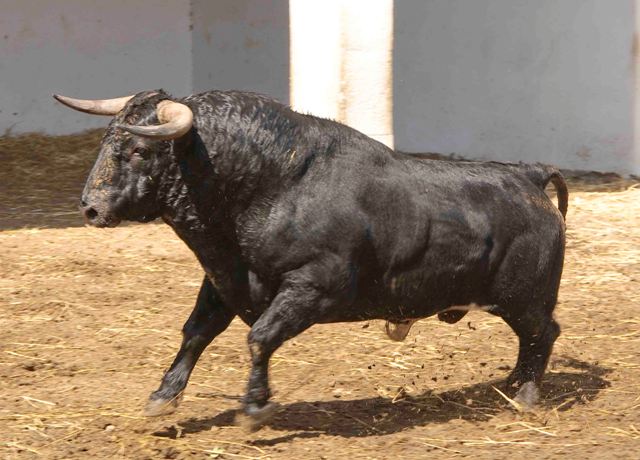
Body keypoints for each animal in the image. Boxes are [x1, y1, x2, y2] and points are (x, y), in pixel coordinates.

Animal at [53, 90, 564, 432]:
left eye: (139, 150)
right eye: (107, 139)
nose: (90, 208)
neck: (272, 187)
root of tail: (528, 176)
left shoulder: (314, 286)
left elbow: (260, 338)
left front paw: (256, 406)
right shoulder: (222, 282)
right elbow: (195, 334)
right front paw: (162, 396)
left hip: (525, 299)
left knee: (543, 334)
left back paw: (525, 393)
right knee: (533, 339)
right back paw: (511, 382)